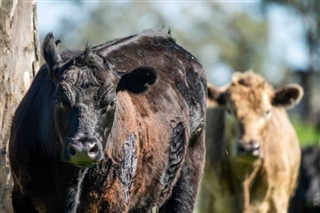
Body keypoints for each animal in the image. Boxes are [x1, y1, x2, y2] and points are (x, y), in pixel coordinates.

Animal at [9, 29, 208, 213]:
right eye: (59, 99)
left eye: (112, 102)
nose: (83, 149)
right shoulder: (21, 197)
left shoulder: (114, 200)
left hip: (189, 173)